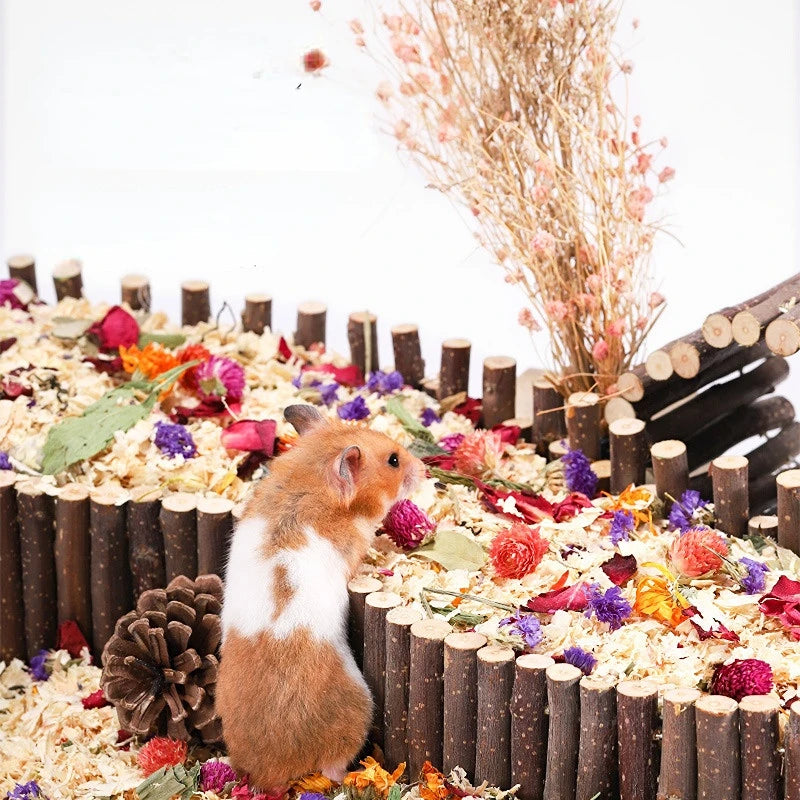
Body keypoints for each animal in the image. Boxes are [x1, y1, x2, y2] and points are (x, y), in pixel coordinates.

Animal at [217, 403, 425, 790]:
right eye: (393, 460)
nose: (425, 469)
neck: (310, 477)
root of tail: (269, 773)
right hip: (357, 710)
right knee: (332, 769)